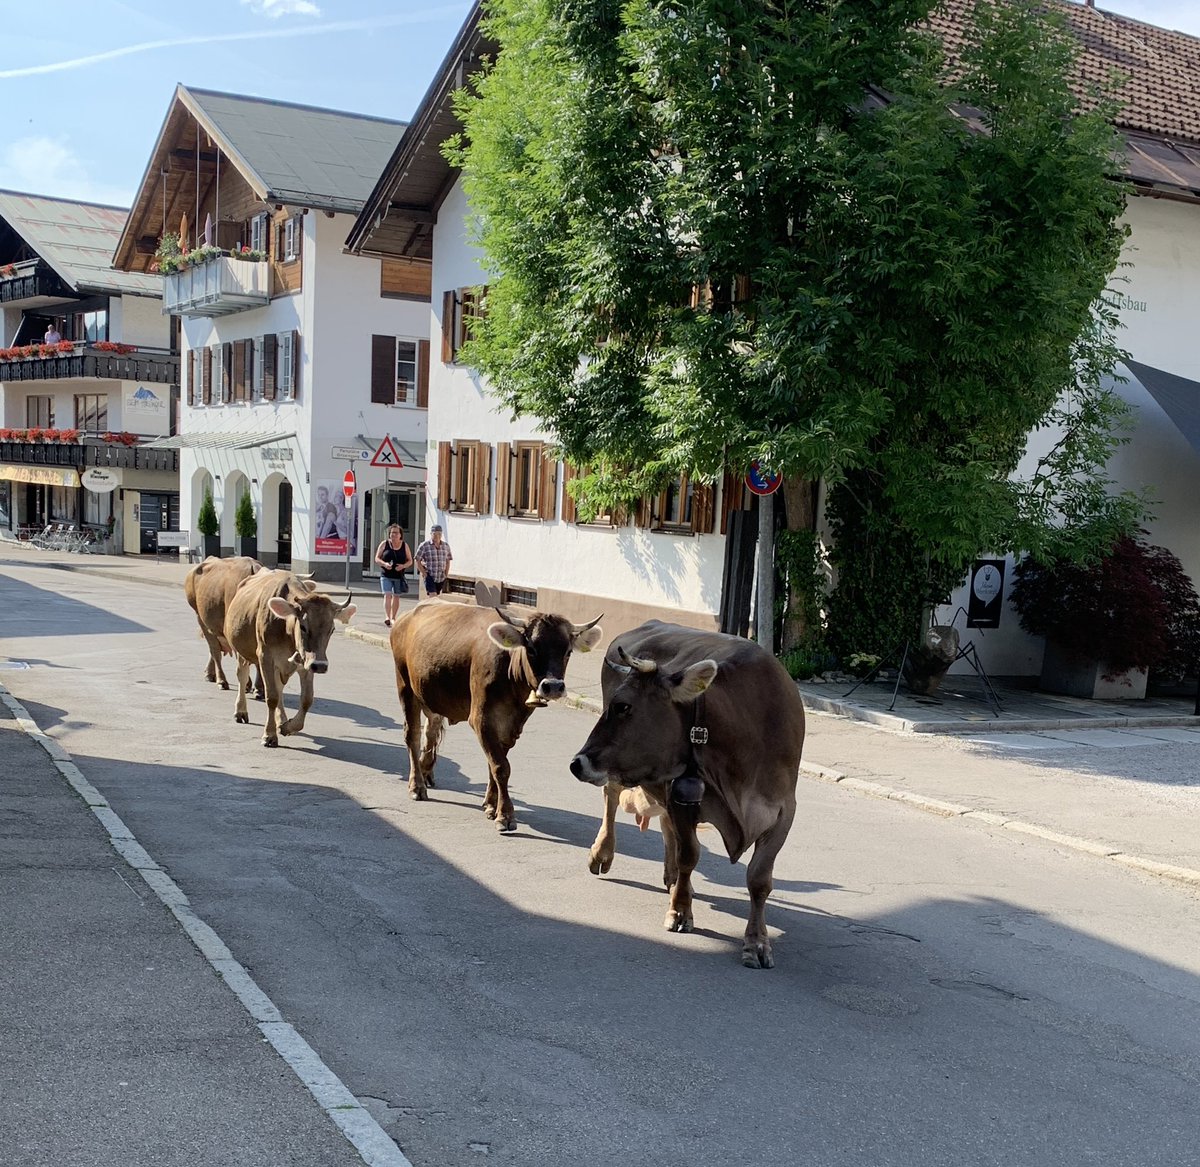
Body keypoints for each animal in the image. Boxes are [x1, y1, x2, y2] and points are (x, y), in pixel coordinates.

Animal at [181, 554, 261, 686]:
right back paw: (221, 680)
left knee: (214, 647)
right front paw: (250, 684)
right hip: (200, 617)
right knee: (215, 650)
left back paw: (210, 674)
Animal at [225, 571, 355, 749]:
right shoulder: (265, 657)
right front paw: (269, 735)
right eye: (303, 626)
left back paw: (282, 720)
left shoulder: (306, 663)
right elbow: (271, 697)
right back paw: (241, 711)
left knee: (280, 688)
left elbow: (307, 699)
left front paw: (288, 727)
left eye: (332, 629)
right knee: (242, 677)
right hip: (242, 652)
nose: (321, 666)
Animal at [391, 602, 604, 830]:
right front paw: (505, 815)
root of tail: (408, 614)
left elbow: (494, 763)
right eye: (531, 649)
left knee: (431, 730)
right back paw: (417, 785)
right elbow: (501, 766)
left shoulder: (512, 725)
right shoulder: (481, 718)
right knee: (412, 735)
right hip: (405, 686)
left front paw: (491, 805)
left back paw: (426, 771)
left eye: (568, 651)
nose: (553, 686)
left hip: (431, 692)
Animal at [571, 624, 806, 970]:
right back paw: (603, 853)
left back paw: (671, 879)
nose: (576, 763)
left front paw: (757, 941)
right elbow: (689, 855)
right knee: (611, 796)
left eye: (624, 706)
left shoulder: (782, 812)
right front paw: (680, 911)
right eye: (614, 703)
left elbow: (759, 878)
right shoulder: (684, 799)